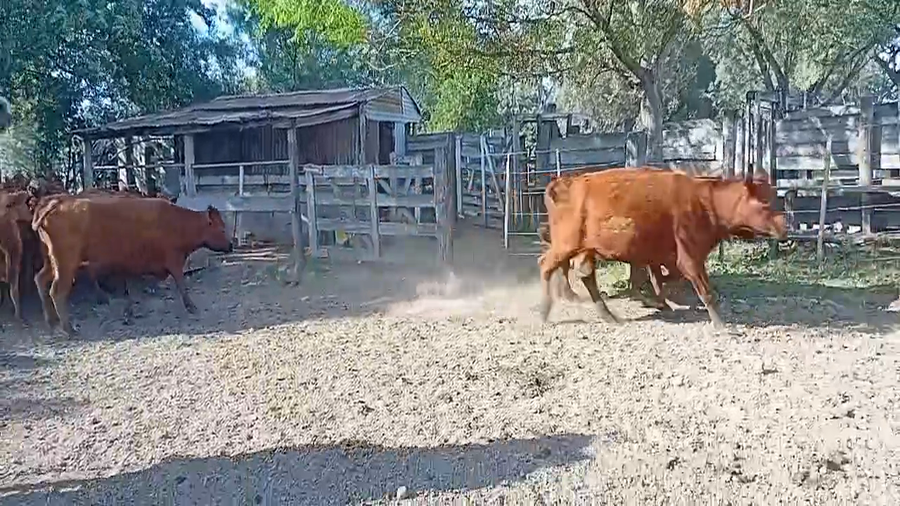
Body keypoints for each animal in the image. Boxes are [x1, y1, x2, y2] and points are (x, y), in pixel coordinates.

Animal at [31, 194, 233, 335]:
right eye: (222, 229)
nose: (231, 245)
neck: (176, 221)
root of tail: (56, 203)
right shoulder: (174, 259)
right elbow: (181, 284)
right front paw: (191, 306)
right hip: (66, 264)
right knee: (57, 291)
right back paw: (68, 328)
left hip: (51, 262)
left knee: (40, 280)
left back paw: (51, 321)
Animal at [538, 167, 786, 328]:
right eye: (764, 204)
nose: (784, 227)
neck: (705, 202)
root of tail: (566, 183)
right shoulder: (689, 257)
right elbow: (704, 291)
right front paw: (722, 325)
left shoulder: (666, 257)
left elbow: (660, 278)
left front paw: (659, 301)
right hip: (566, 244)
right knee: (547, 266)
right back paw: (545, 312)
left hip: (584, 248)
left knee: (584, 274)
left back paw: (610, 317)